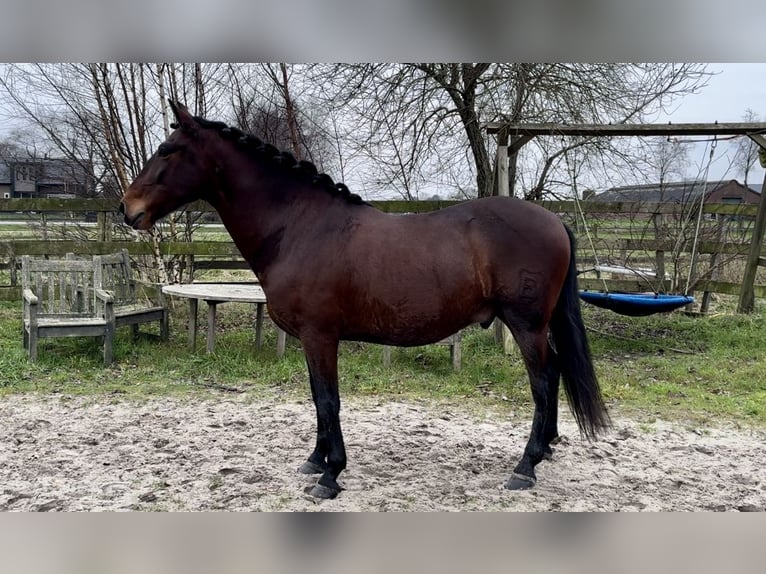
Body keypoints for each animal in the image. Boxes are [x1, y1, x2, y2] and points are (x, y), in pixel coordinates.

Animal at [121, 101, 612, 502]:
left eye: (167, 150)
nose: (128, 209)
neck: (298, 226)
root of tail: (554, 220)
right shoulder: (310, 340)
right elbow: (317, 398)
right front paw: (315, 460)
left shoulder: (320, 336)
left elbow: (328, 400)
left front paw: (330, 475)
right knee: (555, 373)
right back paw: (545, 450)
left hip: (526, 325)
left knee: (543, 383)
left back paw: (525, 467)